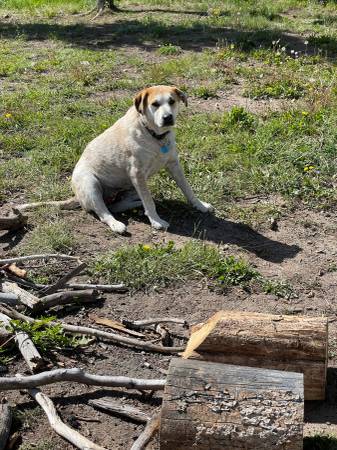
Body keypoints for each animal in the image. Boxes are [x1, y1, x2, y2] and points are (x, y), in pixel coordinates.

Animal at [71, 84, 213, 234]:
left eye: (172, 101)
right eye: (155, 104)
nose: (167, 117)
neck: (154, 135)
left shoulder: (174, 164)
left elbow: (187, 189)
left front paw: (200, 205)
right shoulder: (137, 173)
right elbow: (149, 202)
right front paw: (156, 221)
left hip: (132, 186)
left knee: (116, 206)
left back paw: (138, 203)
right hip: (90, 184)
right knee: (104, 212)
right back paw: (116, 224)